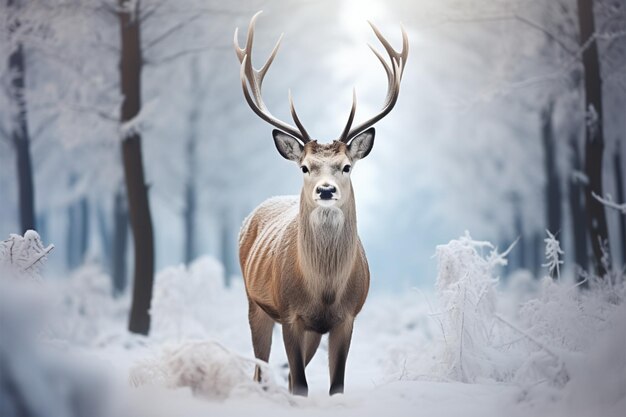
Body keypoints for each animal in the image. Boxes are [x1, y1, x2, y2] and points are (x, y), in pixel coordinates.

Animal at [233, 12, 404, 396]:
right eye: (305, 167)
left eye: (346, 166)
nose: (326, 190)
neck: (324, 291)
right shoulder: (289, 314)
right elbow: (299, 384)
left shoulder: (348, 317)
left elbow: (334, 385)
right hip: (254, 302)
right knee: (260, 368)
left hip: (309, 330)